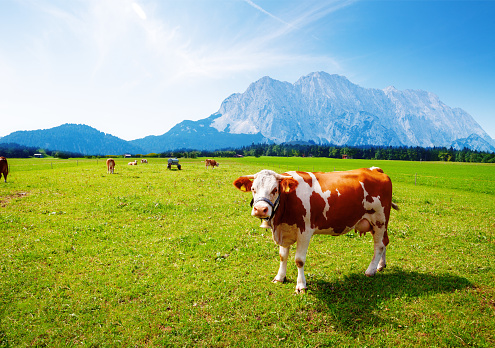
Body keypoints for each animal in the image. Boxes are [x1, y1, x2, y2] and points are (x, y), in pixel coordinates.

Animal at [234, 167, 402, 292]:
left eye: (275, 189)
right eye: (253, 189)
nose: (260, 209)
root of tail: (374, 169)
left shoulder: (305, 232)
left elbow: (299, 260)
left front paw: (301, 285)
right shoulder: (284, 230)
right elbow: (283, 256)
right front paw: (280, 277)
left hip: (380, 220)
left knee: (379, 245)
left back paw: (370, 270)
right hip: (378, 224)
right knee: (384, 242)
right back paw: (381, 266)